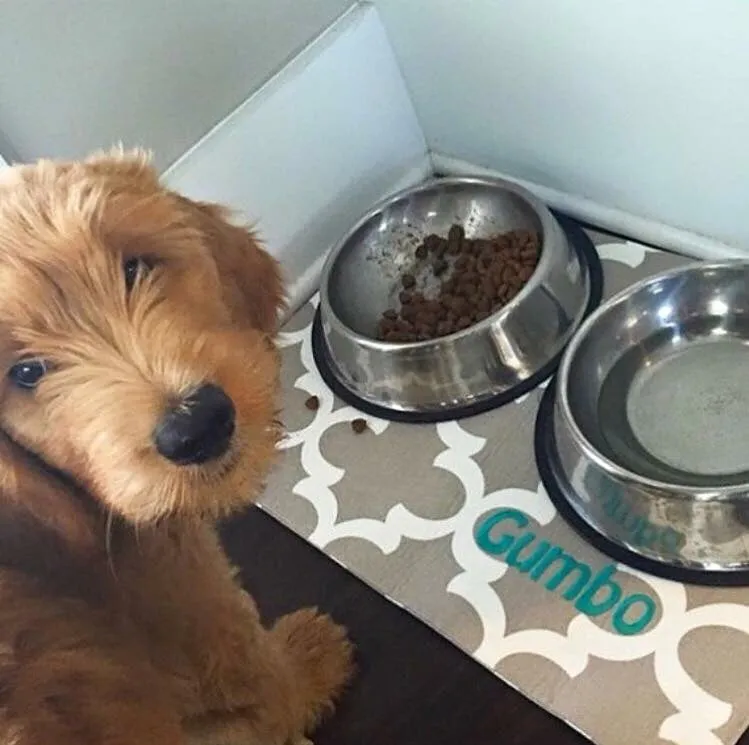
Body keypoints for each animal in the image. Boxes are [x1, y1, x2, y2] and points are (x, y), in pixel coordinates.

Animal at [0, 148, 354, 740]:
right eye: (25, 372)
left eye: (134, 268)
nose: (198, 426)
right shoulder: (199, 613)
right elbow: (270, 682)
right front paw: (310, 653)